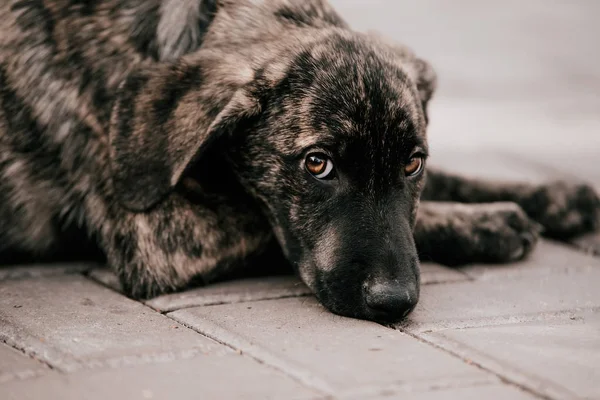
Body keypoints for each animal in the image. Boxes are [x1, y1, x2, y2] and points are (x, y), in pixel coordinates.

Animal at [0, 0, 596, 324]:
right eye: (316, 164)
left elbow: (451, 178)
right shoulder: (160, 235)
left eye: (412, 165)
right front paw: (492, 224)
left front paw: (553, 197)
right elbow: (266, 223)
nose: (395, 302)